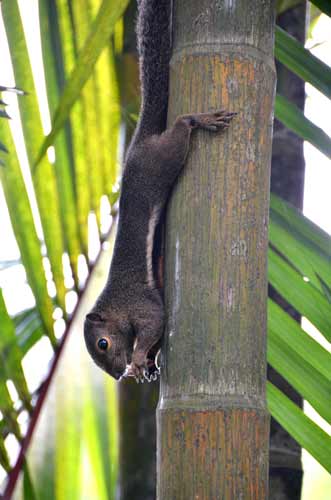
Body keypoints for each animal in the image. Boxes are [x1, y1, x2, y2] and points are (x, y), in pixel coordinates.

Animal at [84, 0, 237, 382]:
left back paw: (200, 120)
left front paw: (140, 360)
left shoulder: (142, 304)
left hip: (162, 159)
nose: (117, 375)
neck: (116, 303)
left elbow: (155, 322)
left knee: (182, 126)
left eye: (103, 343)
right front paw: (148, 366)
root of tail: (137, 144)